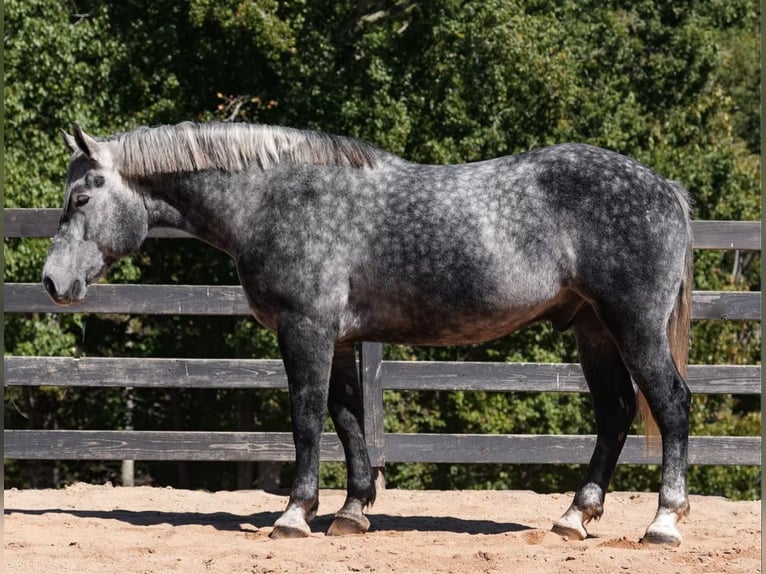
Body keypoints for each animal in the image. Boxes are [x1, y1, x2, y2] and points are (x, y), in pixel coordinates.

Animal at [42, 121, 693, 545]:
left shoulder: (305, 329)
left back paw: (663, 522)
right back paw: (574, 517)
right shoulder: (339, 339)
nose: (52, 281)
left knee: (672, 404)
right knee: (615, 413)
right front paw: (352, 512)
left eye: (80, 197)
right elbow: (347, 418)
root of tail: (667, 190)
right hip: (594, 331)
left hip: (633, 327)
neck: (273, 198)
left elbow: (307, 418)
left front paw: (294, 515)